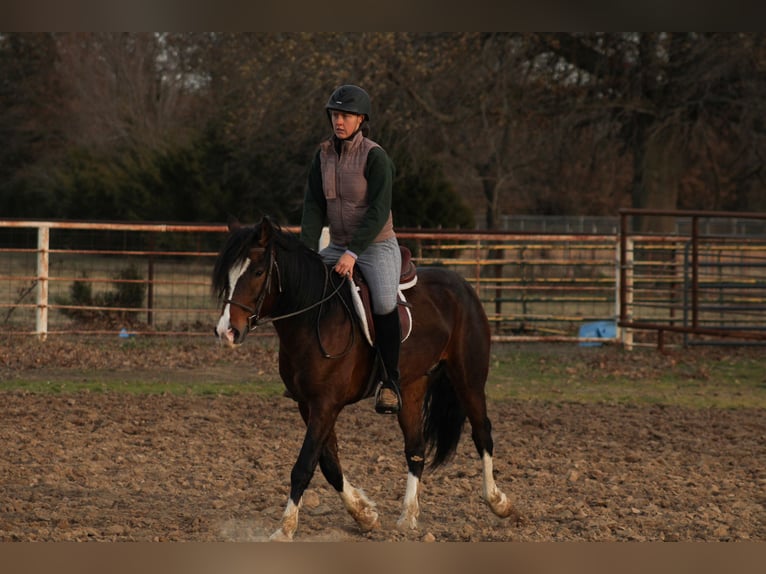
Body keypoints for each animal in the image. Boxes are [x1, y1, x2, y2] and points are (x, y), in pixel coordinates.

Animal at [212, 216, 516, 540]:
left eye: (257, 272)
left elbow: (304, 465)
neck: (316, 318)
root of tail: (462, 285)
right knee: (415, 448)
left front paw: (284, 529)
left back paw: (498, 502)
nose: (226, 331)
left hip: (469, 379)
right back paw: (407, 518)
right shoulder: (308, 405)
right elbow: (329, 463)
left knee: (482, 433)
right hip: (411, 388)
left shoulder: (326, 404)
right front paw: (365, 514)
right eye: (228, 275)